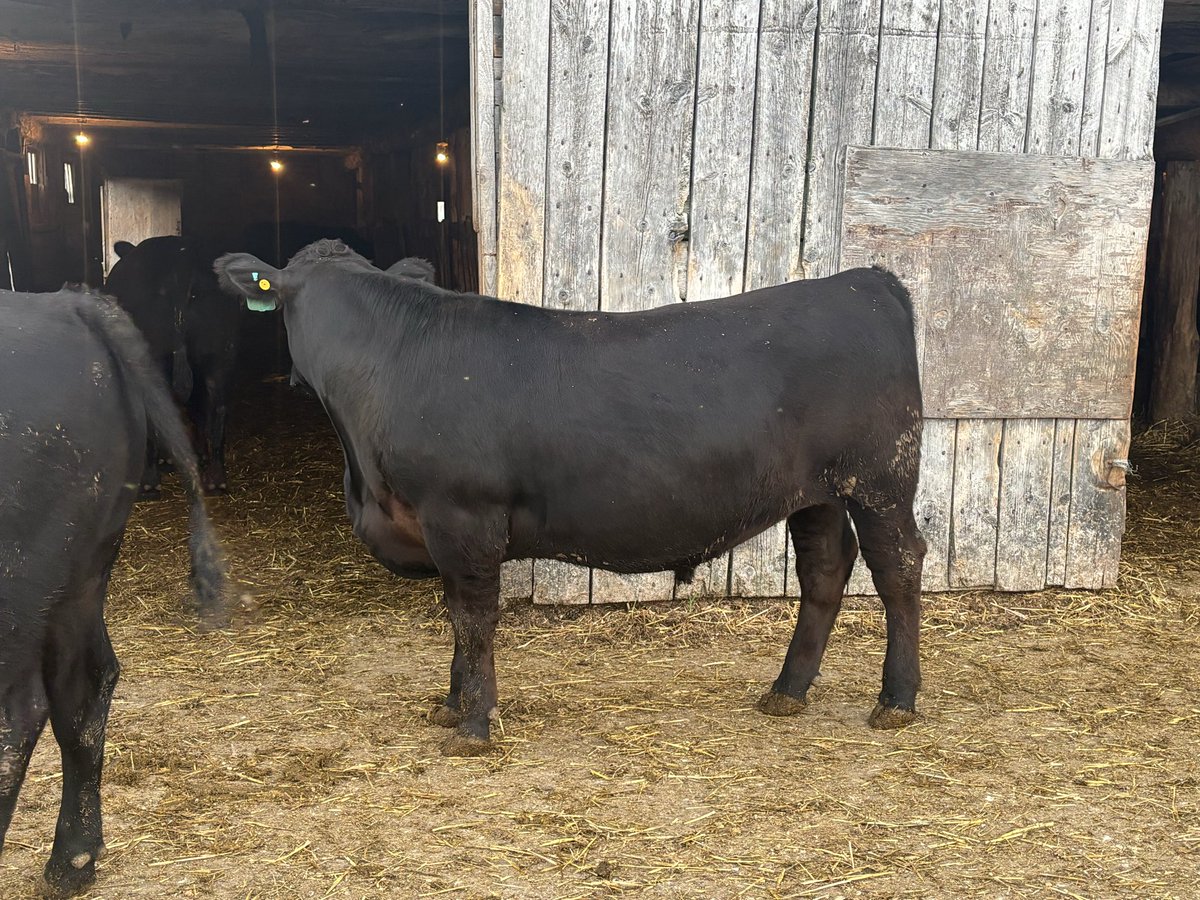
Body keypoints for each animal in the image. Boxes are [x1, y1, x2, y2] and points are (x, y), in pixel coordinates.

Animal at [0, 285, 228, 897]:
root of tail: (70, 304)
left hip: (16, 587)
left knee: (17, 715)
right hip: (79, 574)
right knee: (83, 687)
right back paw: (74, 858)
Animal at [215, 239, 926, 757]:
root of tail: (866, 281)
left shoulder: (463, 515)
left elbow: (474, 618)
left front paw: (474, 726)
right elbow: (454, 614)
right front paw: (450, 706)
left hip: (882, 479)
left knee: (898, 569)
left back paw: (896, 701)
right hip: (818, 492)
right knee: (824, 570)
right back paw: (787, 691)